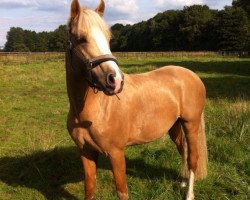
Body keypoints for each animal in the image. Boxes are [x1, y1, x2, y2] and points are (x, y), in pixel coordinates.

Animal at [65, 0, 208, 199]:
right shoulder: (86, 152)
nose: (115, 80)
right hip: (174, 126)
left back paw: (189, 193)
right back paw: (182, 182)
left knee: (193, 158)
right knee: (184, 151)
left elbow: (122, 192)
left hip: (191, 124)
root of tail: (192, 75)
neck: (92, 112)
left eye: (108, 39)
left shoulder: (116, 154)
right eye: (81, 38)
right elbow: (90, 188)